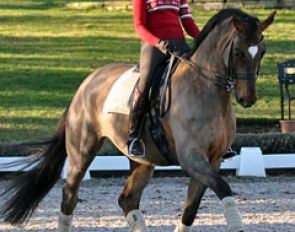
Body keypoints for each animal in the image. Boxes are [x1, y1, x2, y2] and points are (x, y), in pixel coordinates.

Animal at [1, 8, 276, 232]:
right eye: (238, 52)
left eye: (262, 52)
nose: (248, 99)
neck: (205, 89)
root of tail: (87, 82)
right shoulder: (192, 158)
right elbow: (224, 190)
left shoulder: (214, 159)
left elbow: (190, 210)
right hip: (82, 150)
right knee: (69, 196)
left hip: (143, 159)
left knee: (128, 199)